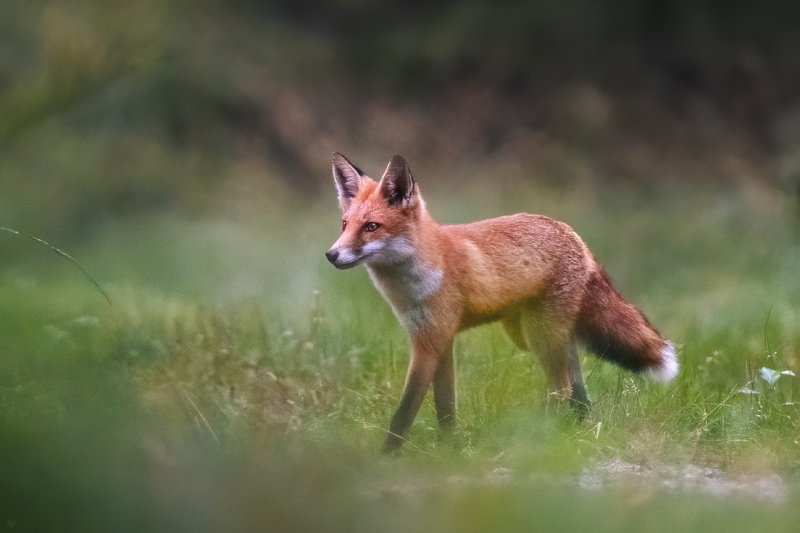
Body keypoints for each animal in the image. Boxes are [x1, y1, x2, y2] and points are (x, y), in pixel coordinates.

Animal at [325, 152, 678, 453]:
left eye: (371, 227)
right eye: (345, 224)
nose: (331, 255)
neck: (418, 276)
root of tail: (571, 233)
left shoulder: (429, 340)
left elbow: (406, 408)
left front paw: (387, 456)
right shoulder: (440, 339)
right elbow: (445, 407)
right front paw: (450, 448)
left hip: (540, 335)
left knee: (561, 388)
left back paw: (543, 436)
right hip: (539, 334)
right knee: (576, 386)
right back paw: (577, 430)